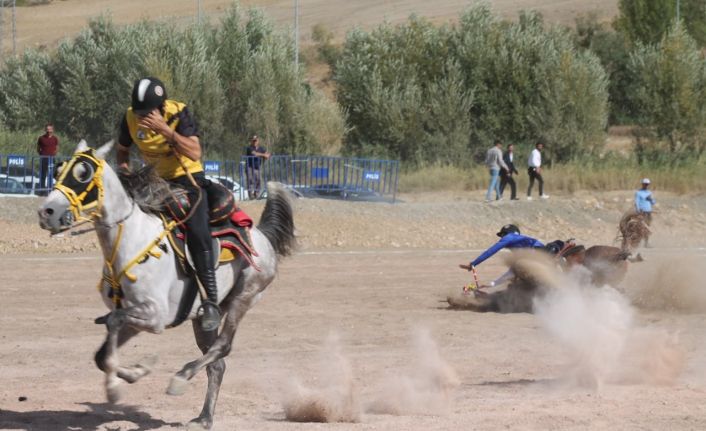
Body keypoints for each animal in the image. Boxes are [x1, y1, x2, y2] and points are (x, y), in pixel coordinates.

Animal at [36, 141, 294, 428]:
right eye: (58, 170)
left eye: (83, 173)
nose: (46, 213)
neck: (131, 240)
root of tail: (261, 235)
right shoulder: (135, 317)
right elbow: (102, 354)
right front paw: (134, 374)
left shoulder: (155, 317)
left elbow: (113, 323)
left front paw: (120, 383)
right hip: (201, 319)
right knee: (217, 363)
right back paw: (204, 417)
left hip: (244, 297)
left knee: (223, 346)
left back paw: (181, 378)